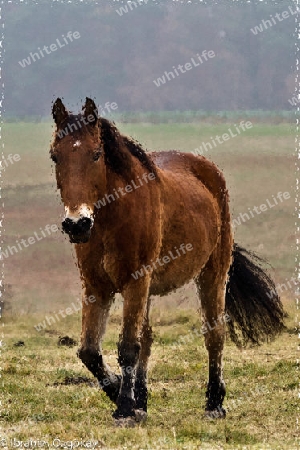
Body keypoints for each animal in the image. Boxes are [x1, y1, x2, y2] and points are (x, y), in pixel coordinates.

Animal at [50, 96, 284, 424]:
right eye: (55, 157)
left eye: (96, 154)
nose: (77, 224)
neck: (112, 219)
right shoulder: (96, 287)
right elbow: (90, 351)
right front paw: (127, 398)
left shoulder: (135, 282)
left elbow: (128, 346)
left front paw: (124, 408)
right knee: (146, 339)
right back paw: (143, 399)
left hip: (213, 273)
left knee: (214, 334)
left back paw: (214, 403)